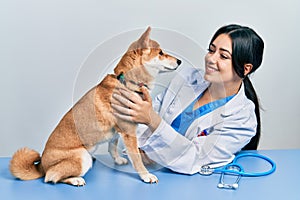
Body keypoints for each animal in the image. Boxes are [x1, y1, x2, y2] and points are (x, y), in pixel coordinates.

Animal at [9, 27, 182, 186]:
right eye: (160, 53)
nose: (180, 61)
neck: (126, 81)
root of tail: (42, 165)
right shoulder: (128, 131)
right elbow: (137, 158)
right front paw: (146, 175)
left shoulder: (117, 132)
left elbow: (112, 147)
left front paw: (118, 160)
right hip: (82, 156)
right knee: (51, 176)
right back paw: (75, 179)